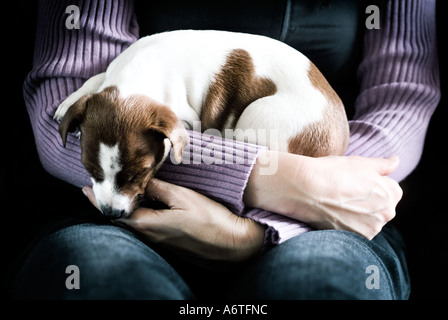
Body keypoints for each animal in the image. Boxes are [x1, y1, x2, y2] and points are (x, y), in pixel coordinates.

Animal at [53, 30, 350, 219]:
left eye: (139, 175)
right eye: (90, 170)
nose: (111, 214)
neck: (133, 79)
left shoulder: (186, 117)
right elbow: (96, 78)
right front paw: (70, 102)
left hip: (257, 117)